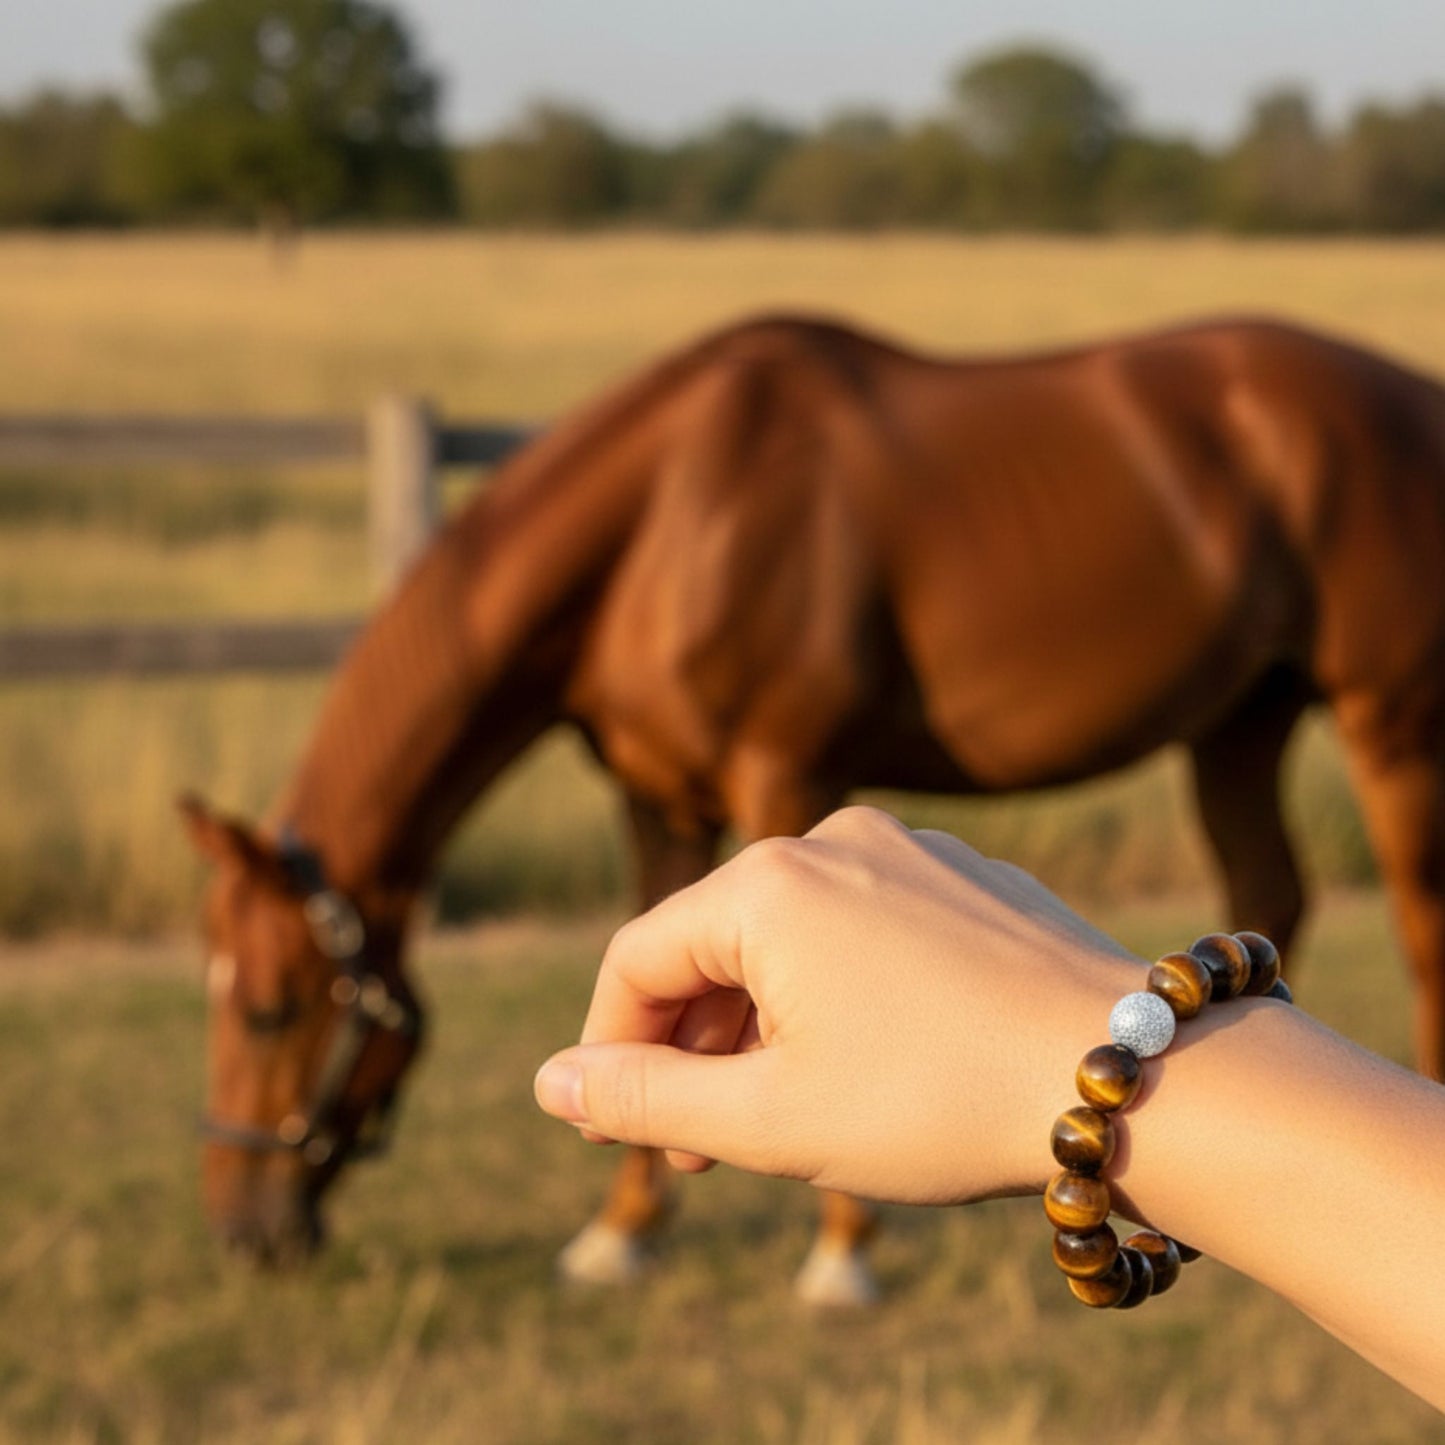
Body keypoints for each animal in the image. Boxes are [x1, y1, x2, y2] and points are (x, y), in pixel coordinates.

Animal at [183, 312, 1445, 1301]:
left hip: (1386, 716)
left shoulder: (784, 775)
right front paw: (622, 1232)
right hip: (1241, 718)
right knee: (1268, 890)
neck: (670, 515)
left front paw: (843, 1253)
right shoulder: (657, 794)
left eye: (271, 1007)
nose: (243, 1233)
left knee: (1416, 920)